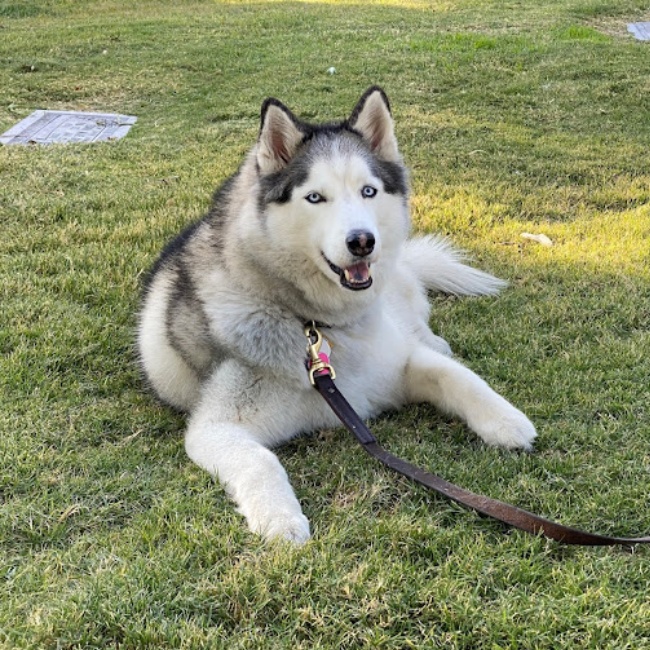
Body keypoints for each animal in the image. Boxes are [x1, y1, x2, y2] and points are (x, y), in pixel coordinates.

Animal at [138, 86, 536, 540]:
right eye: (315, 197)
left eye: (368, 191)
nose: (363, 241)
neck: (316, 325)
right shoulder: (216, 427)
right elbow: (260, 460)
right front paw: (281, 519)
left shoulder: (395, 365)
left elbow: (456, 377)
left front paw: (508, 422)